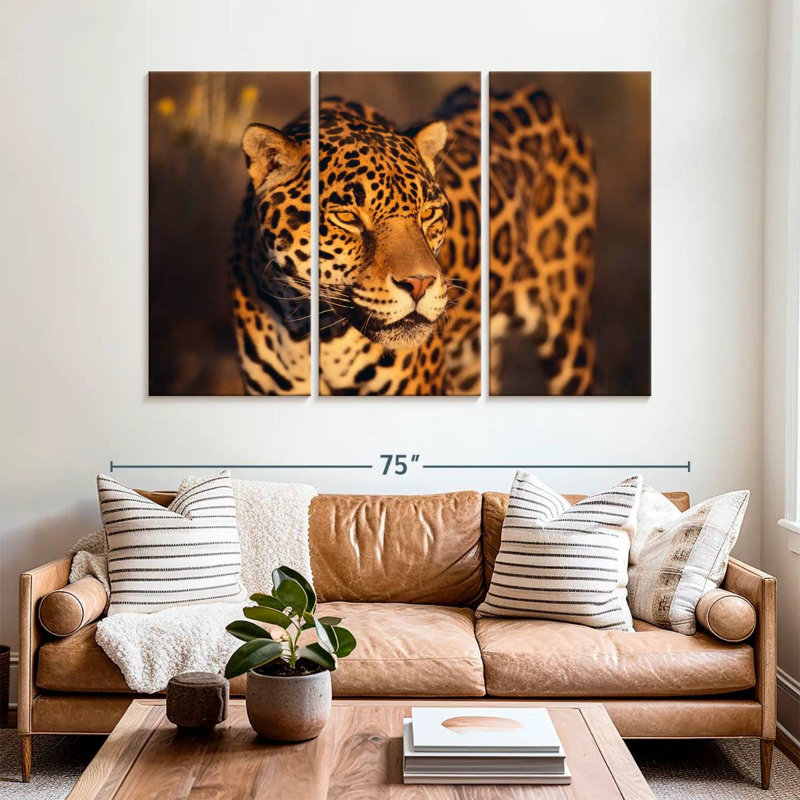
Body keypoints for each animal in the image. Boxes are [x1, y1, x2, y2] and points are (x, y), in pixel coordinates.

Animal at [229, 84, 596, 396]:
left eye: (428, 213)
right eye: (348, 217)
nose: (420, 284)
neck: (315, 334)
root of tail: (536, 90)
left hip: (568, 332)